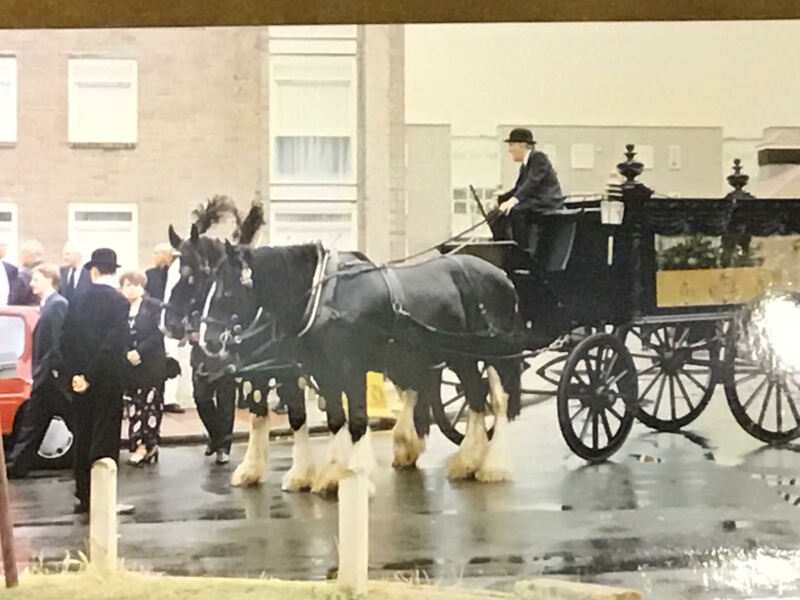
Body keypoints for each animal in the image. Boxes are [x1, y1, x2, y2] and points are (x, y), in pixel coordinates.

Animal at [201, 241, 525, 484]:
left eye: (226, 292)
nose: (208, 341)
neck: (324, 299)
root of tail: (503, 276)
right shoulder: (321, 372)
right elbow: (332, 420)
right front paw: (327, 475)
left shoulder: (347, 368)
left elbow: (355, 421)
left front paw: (351, 473)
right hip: (453, 358)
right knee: (475, 396)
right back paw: (462, 460)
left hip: (487, 355)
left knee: (495, 399)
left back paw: (489, 465)